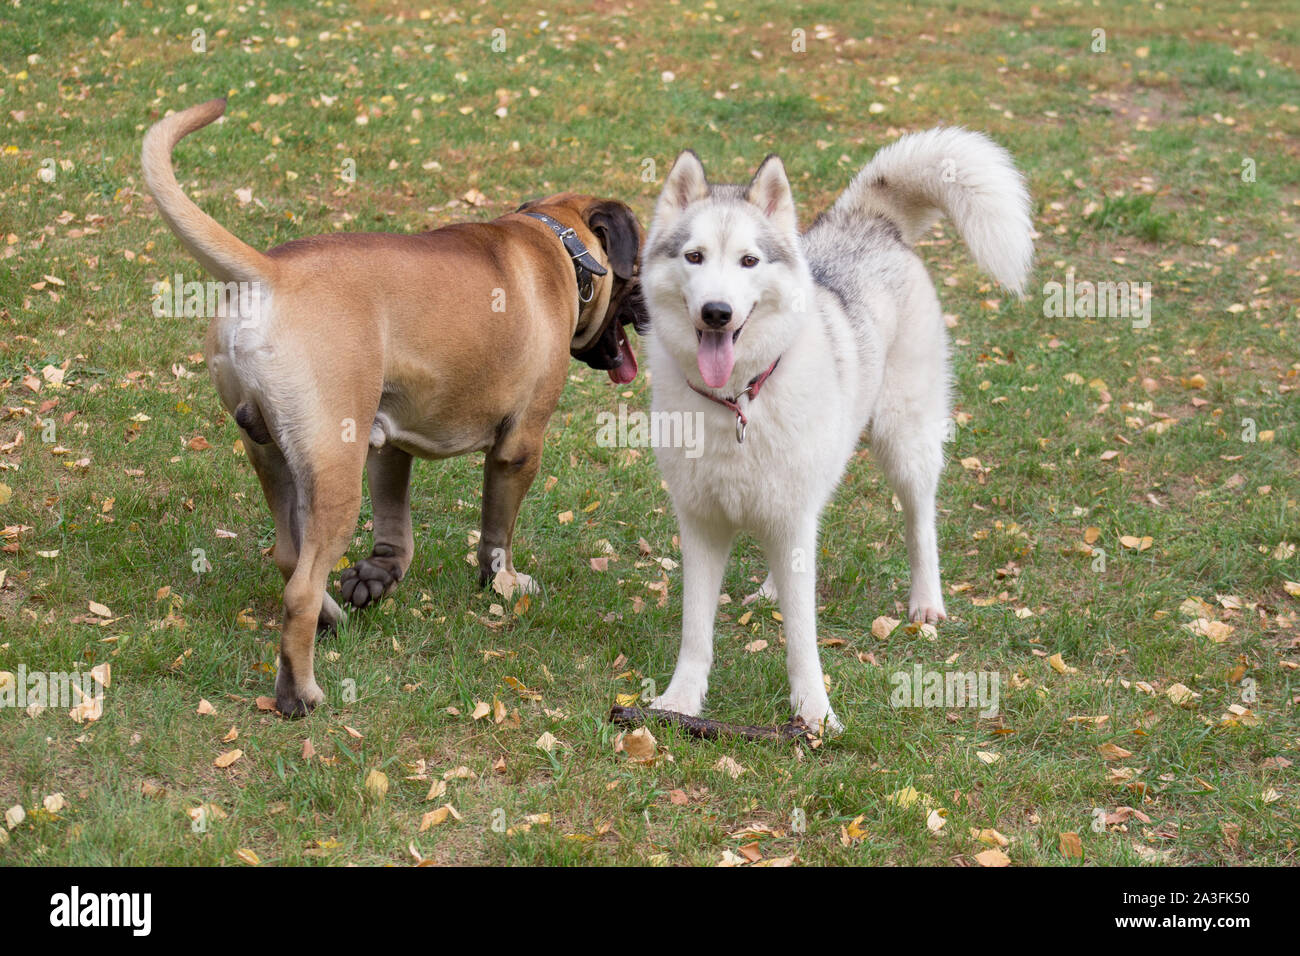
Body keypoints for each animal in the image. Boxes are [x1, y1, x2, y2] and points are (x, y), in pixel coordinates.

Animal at [144, 100, 647, 712]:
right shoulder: (519, 446)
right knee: (300, 588)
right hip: (336, 471)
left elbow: (395, 526)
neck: (556, 242)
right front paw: (503, 584)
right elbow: (497, 531)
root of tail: (270, 272)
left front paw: (379, 577)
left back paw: (332, 619)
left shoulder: (389, 445)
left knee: (290, 557)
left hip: (278, 458)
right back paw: (299, 692)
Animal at [642, 125, 1034, 723]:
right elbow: (695, 632)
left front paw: (814, 714)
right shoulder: (702, 523)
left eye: (749, 261)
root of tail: (866, 218)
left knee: (921, 524)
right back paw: (772, 589)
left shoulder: (790, 516)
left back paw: (926, 602)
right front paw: (680, 702)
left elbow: (803, 639)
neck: (738, 403)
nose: (716, 312)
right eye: (694, 256)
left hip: (904, 444)